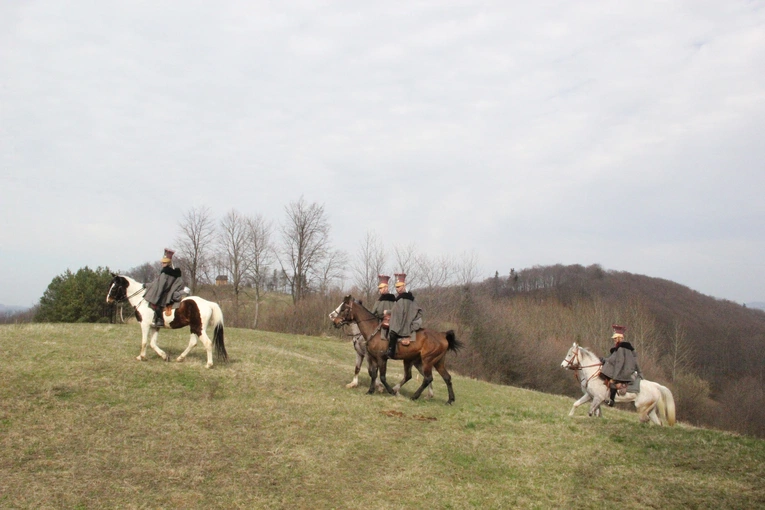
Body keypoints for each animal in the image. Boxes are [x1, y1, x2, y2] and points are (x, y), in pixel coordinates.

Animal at [328, 292, 460, 404]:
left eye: (343, 309)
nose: (334, 321)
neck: (373, 330)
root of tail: (442, 335)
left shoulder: (380, 358)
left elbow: (381, 376)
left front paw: (388, 390)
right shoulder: (372, 358)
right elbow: (372, 373)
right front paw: (370, 390)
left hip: (427, 361)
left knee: (427, 378)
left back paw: (413, 396)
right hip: (434, 362)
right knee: (445, 378)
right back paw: (449, 400)